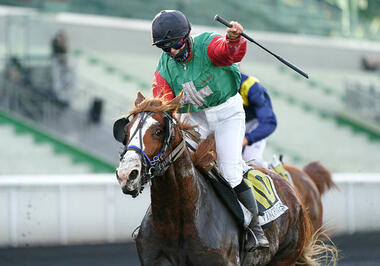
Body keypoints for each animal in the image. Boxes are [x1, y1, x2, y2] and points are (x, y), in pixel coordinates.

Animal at [114, 92, 328, 266]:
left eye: (159, 131)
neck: (179, 218)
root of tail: (294, 194)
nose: (127, 174)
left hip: (285, 258)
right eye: (126, 131)